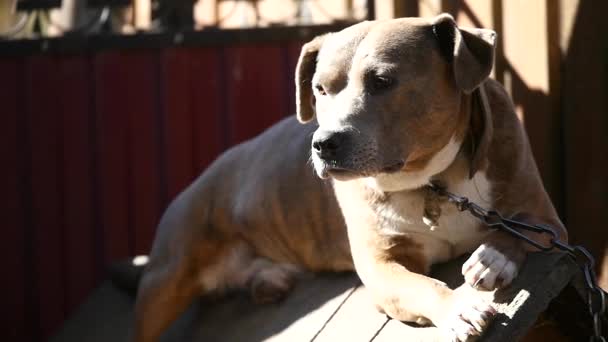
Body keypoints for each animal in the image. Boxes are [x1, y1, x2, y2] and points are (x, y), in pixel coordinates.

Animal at [133, 14, 564, 342]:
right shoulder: (381, 266)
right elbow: (422, 285)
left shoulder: (547, 219)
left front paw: (492, 258)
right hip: (165, 278)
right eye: (320, 89)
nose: (324, 143)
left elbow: (520, 229)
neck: (435, 181)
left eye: (382, 81)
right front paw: (459, 308)